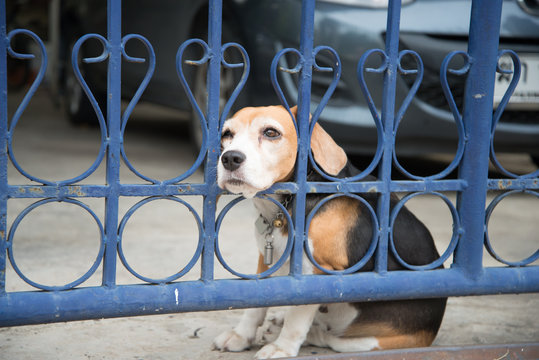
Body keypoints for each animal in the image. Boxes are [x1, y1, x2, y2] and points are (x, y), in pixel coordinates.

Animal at [213, 105, 446, 358]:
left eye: (271, 132)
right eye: (227, 134)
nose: (230, 158)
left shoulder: (316, 270)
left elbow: (297, 318)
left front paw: (281, 347)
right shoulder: (266, 258)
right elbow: (255, 305)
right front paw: (241, 336)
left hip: (370, 341)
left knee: (330, 339)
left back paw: (307, 334)